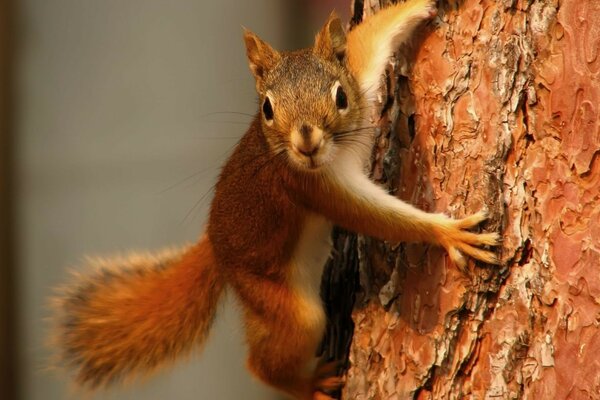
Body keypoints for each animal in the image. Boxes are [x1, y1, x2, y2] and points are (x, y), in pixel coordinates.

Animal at [54, 1, 500, 398]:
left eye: (340, 96)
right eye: (267, 108)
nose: (306, 143)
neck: (337, 151)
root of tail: (215, 248)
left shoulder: (360, 78)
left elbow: (368, 40)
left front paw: (421, 5)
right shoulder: (310, 186)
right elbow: (374, 217)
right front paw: (448, 233)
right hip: (278, 302)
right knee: (265, 362)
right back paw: (308, 385)